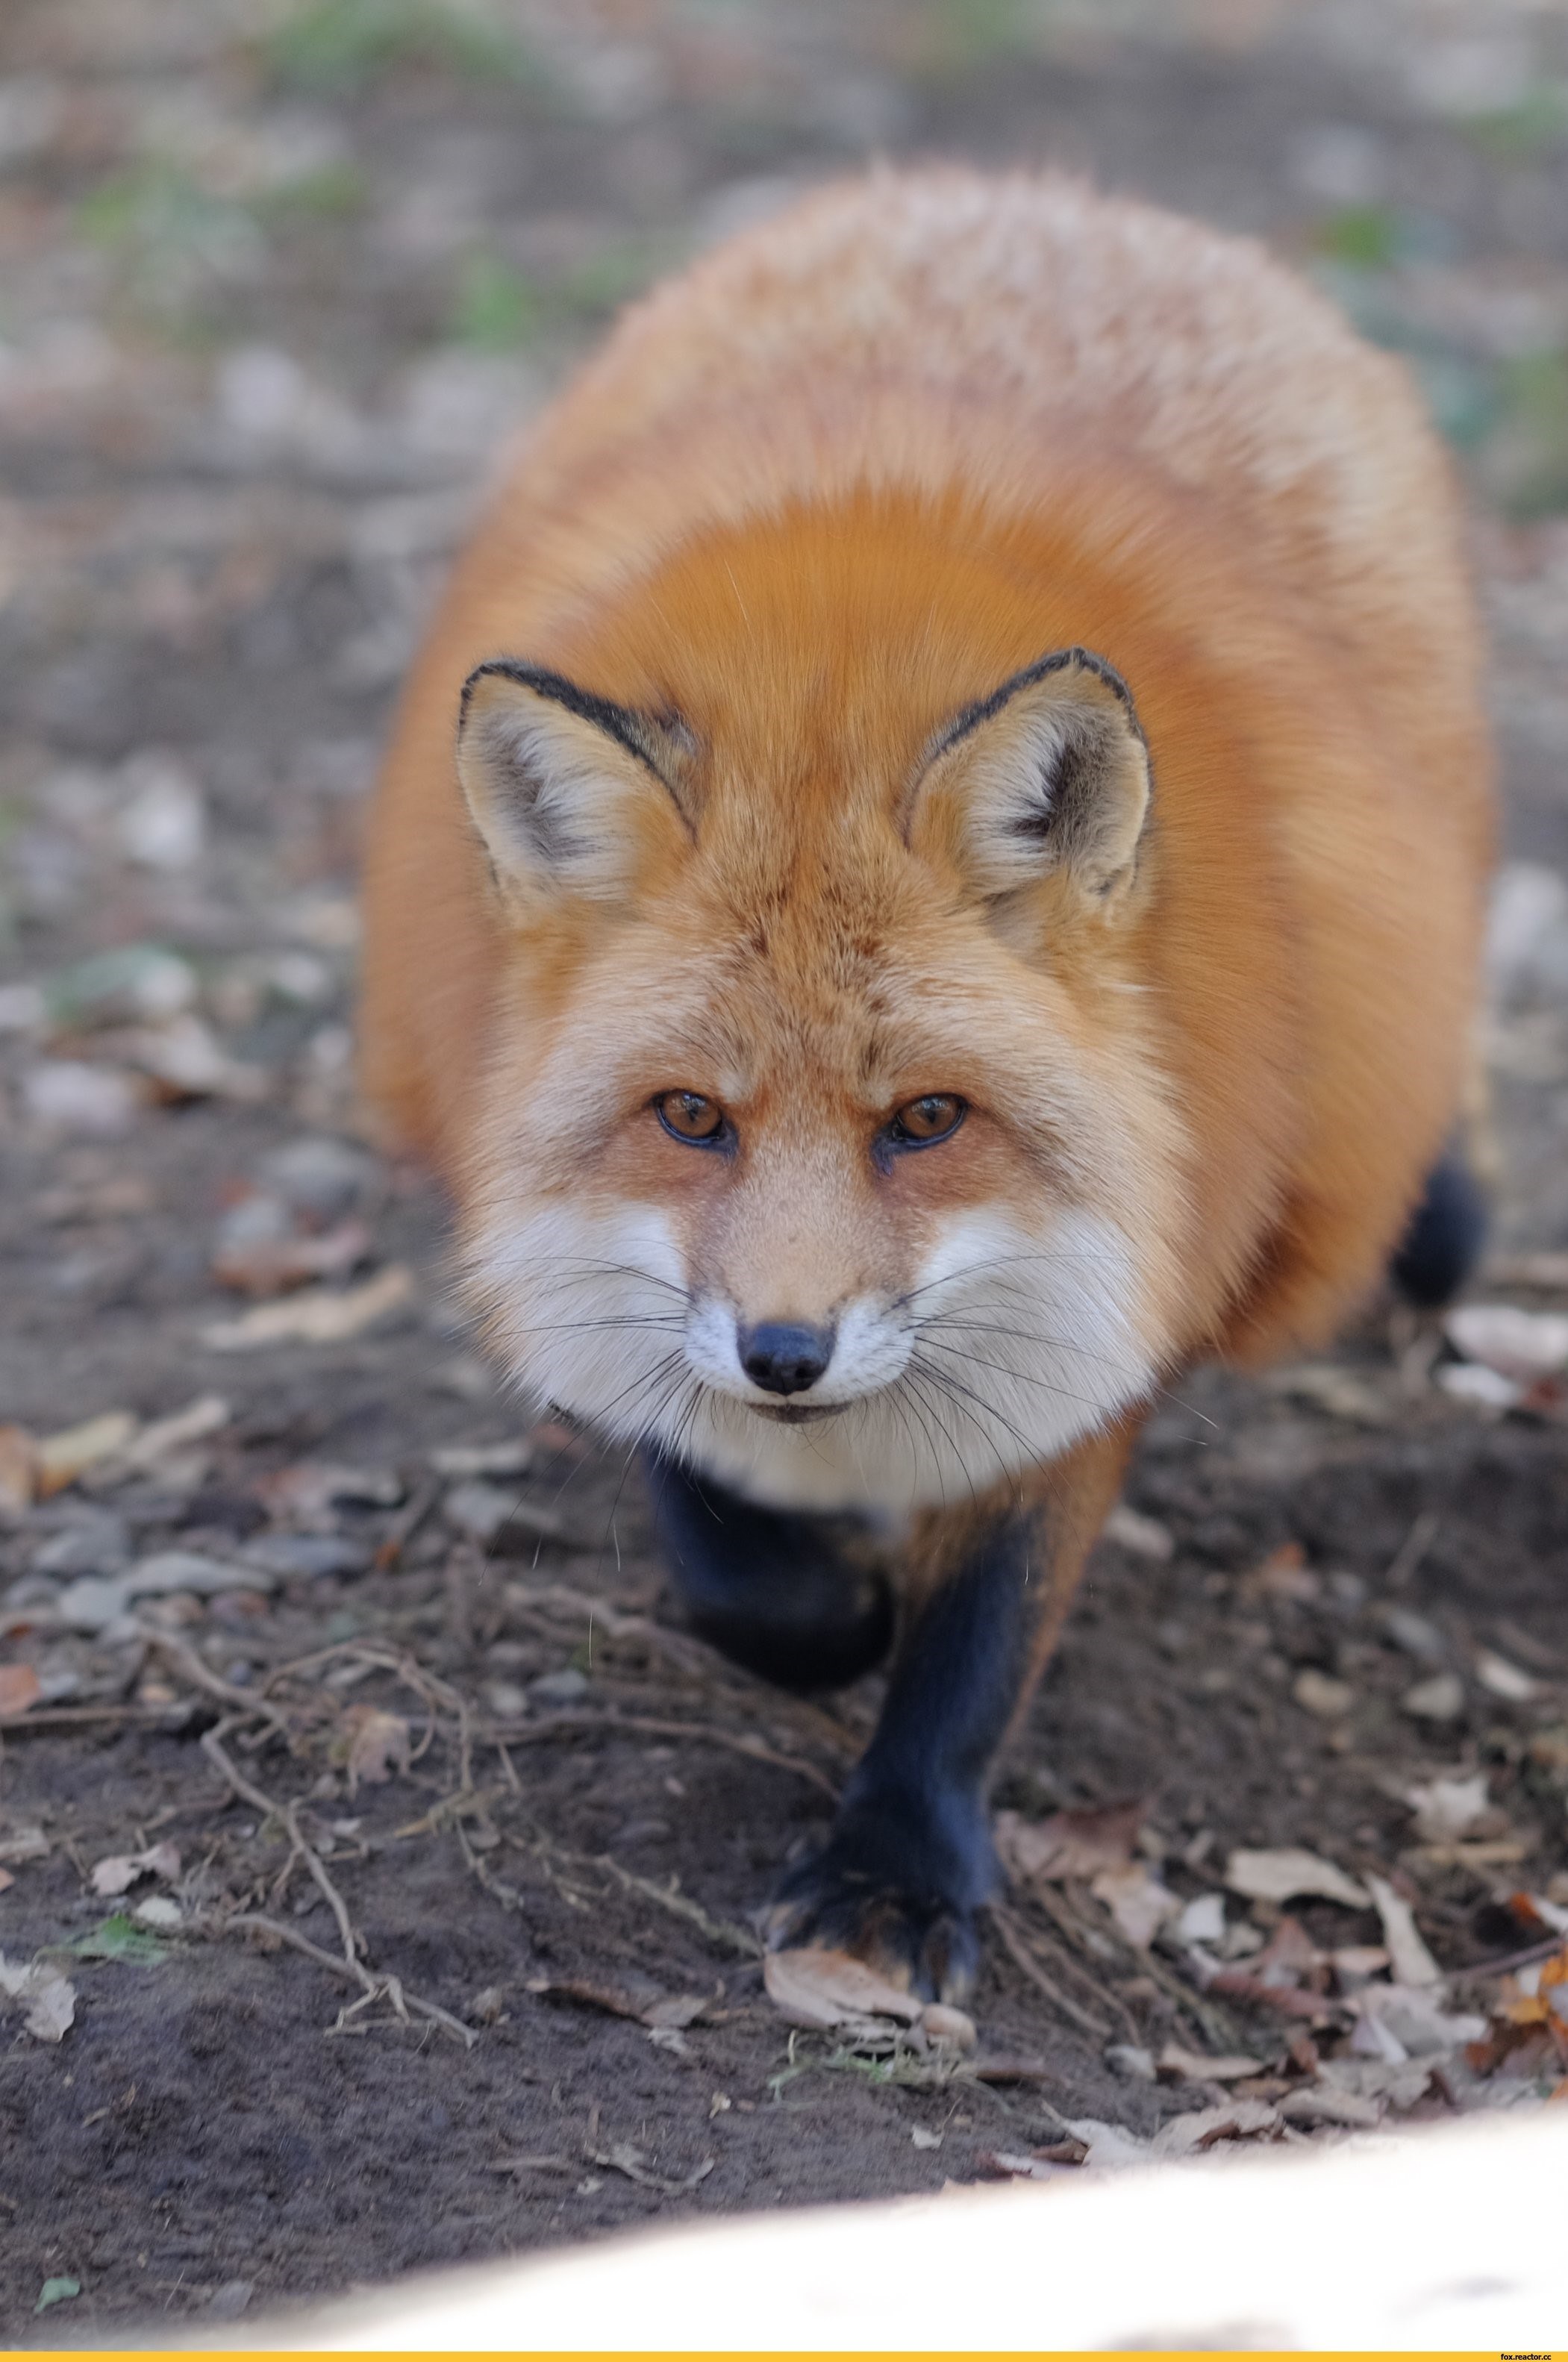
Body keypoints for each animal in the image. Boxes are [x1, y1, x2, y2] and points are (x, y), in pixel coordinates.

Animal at [363, 175, 1492, 2002]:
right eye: (693, 1119)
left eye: (927, 1122)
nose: (787, 1354)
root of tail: (1057, 196)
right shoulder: (571, 1229)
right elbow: (727, 1546)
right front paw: (822, 1606)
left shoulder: (1116, 1290)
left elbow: (978, 1638)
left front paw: (900, 1861)